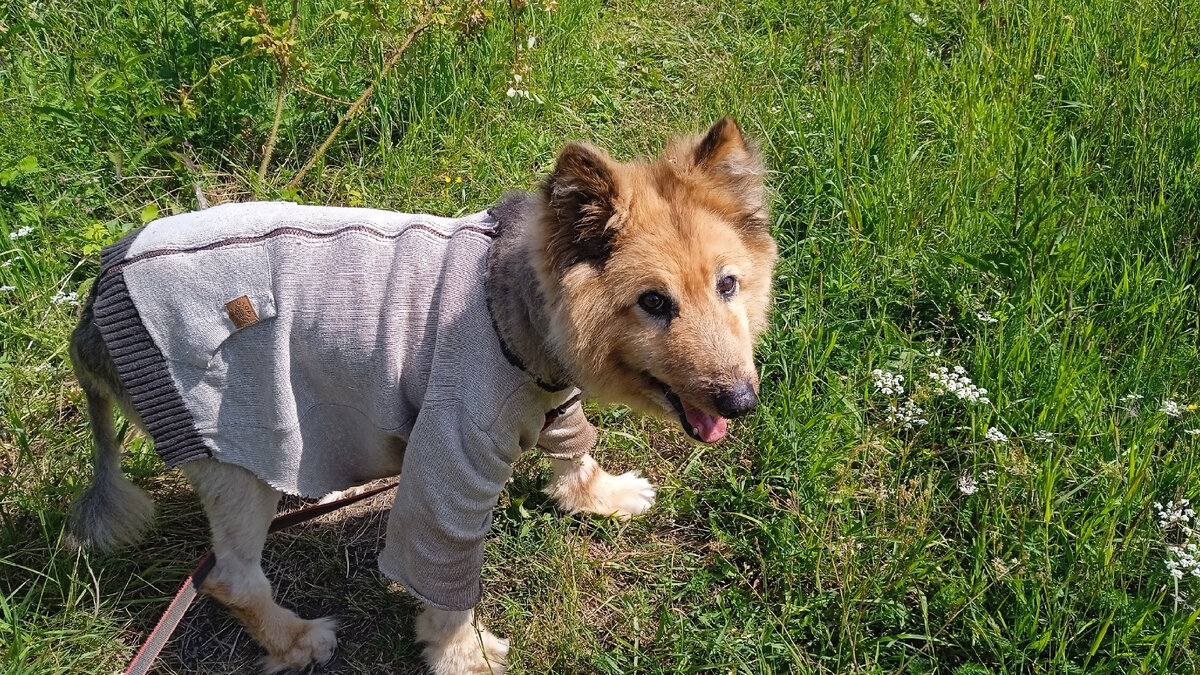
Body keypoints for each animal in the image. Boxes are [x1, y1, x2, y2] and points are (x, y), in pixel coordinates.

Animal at [68, 118, 777, 667]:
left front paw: (599, 496)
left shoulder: (552, 399)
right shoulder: (449, 462)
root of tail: (96, 296)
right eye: (653, 303)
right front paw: (463, 654)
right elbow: (444, 579)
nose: (741, 402)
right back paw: (297, 641)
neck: (511, 307)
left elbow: (574, 448)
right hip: (233, 457)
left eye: (728, 285)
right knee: (232, 580)